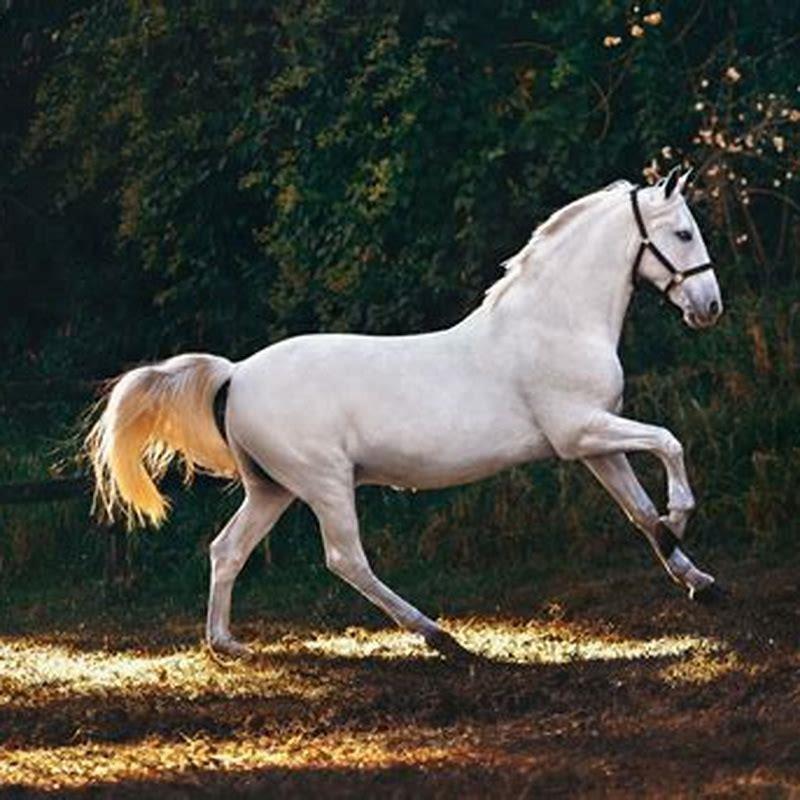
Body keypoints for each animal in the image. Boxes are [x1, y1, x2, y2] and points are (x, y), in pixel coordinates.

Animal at [87, 167, 723, 659]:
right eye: (684, 233)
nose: (710, 307)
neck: (556, 322)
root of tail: (237, 373)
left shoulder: (596, 444)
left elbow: (639, 512)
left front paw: (697, 578)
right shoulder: (581, 432)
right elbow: (669, 442)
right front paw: (681, 518)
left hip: (272, 488)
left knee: (227, 549)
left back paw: (227, 644)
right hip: (324, 482)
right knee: (346, 559)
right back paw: (437, 635)